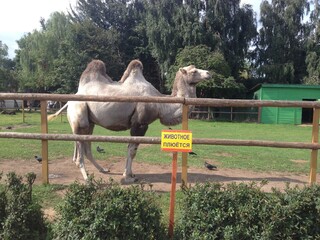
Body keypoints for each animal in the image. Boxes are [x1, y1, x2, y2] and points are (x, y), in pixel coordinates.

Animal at [50, 59, 211, 183]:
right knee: (80, 148)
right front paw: (127, 176)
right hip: (80, 116)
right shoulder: (140, 124)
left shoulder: (139, 125)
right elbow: (132, 150)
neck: (160, 104)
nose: (208, 73)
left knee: (86, 146)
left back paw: (102, 169)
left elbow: (132, 149)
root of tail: (69, 100)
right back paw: (87, 178)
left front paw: (131, 173)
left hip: (90, 123)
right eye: (193, 71)